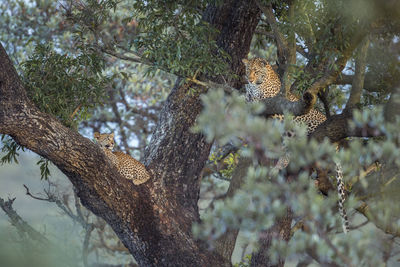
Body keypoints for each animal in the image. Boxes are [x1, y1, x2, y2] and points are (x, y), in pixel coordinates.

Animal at [241, 57, 350, 234]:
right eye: (247, 70)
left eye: (256, 71)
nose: (249, 79)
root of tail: (337, 146)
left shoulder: (271, 104)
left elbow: (258, 99)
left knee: (292, 148)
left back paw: (279, 166)